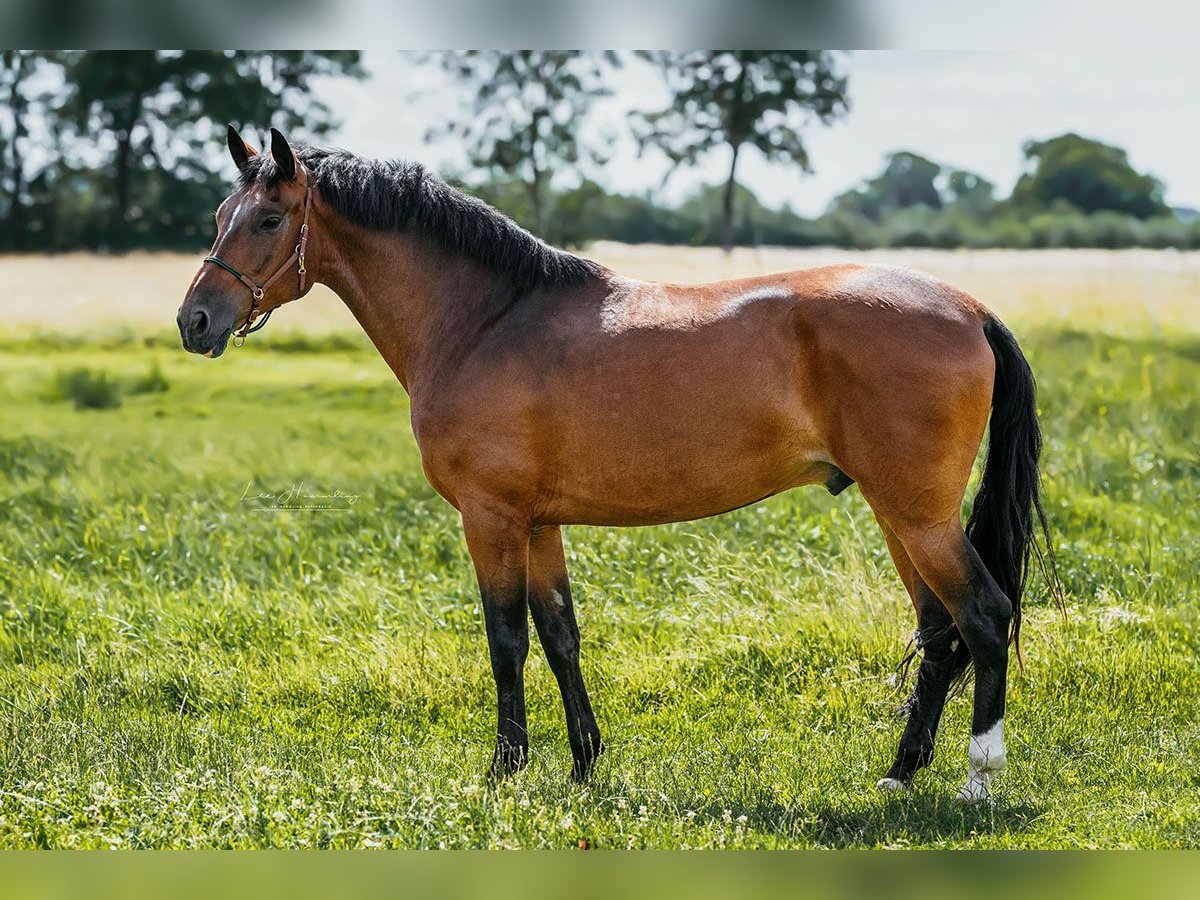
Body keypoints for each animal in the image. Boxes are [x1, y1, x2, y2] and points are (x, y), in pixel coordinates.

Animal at [174, 128, 1056, 801]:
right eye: (217, 214)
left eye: (267, 218)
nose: (195, 321)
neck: (486, 320)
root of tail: (970, 309)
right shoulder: (540, 523)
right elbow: (560, 635)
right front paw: (583, 763)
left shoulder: (491, 517)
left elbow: (505, 639)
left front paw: (503, 771)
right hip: (895, 514)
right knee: (939, 630)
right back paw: (900, 774)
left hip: (919, 515)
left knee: (983, 616)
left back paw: (977, 781)